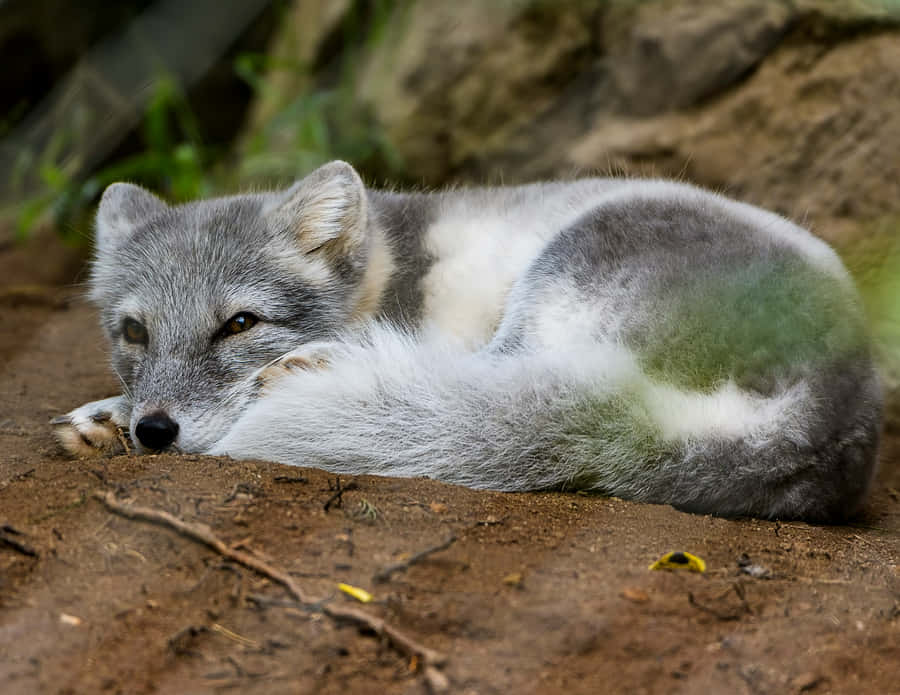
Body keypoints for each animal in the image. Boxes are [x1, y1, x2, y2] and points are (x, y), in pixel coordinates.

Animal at [53, 160, 882, 521]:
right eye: (134, 331)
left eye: (240, 324)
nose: (156, 432)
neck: (388, 272)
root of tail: (833, 418)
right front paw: (106, 414)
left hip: (570, 263)